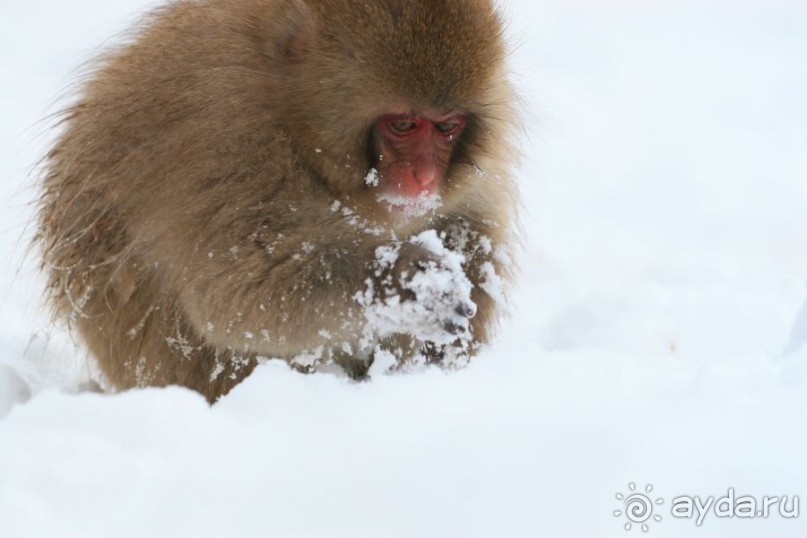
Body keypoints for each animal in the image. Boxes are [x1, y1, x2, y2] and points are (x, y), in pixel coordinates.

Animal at [36, 0, 516, 402]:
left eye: (447, 127)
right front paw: (406, 282)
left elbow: (468, 227)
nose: (424, 179)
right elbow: (239, 292)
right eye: (403, 124)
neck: (294, 111)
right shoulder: (229, 129)